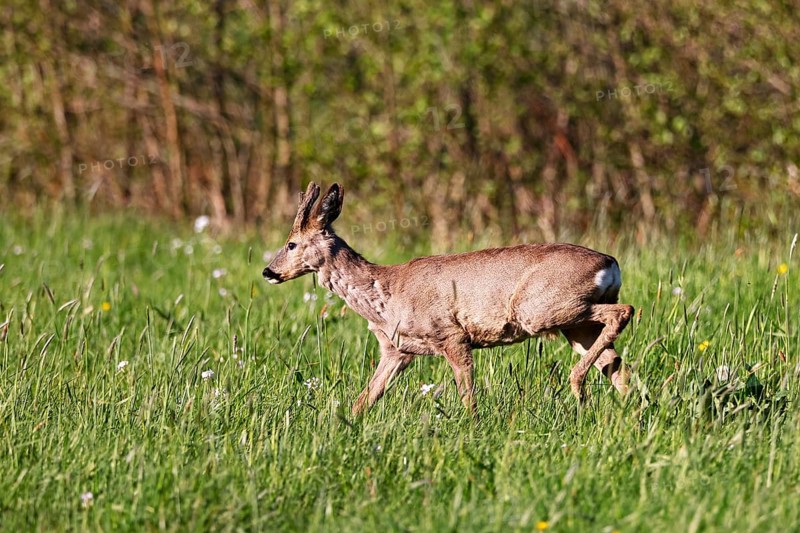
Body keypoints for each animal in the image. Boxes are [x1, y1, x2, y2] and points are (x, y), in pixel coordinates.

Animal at [263, 182, 634, 416]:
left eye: (292, 243)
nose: (268, 271)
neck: (385, 296)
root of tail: (611, 264)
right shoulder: (396, 349)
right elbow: (364, 400)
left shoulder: (451, 335)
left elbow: (467, 396)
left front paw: (472, 429)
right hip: (575, 326)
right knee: (618, 367)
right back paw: (630, 412)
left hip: (543, 309)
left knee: (624, 311)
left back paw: (577, 386)